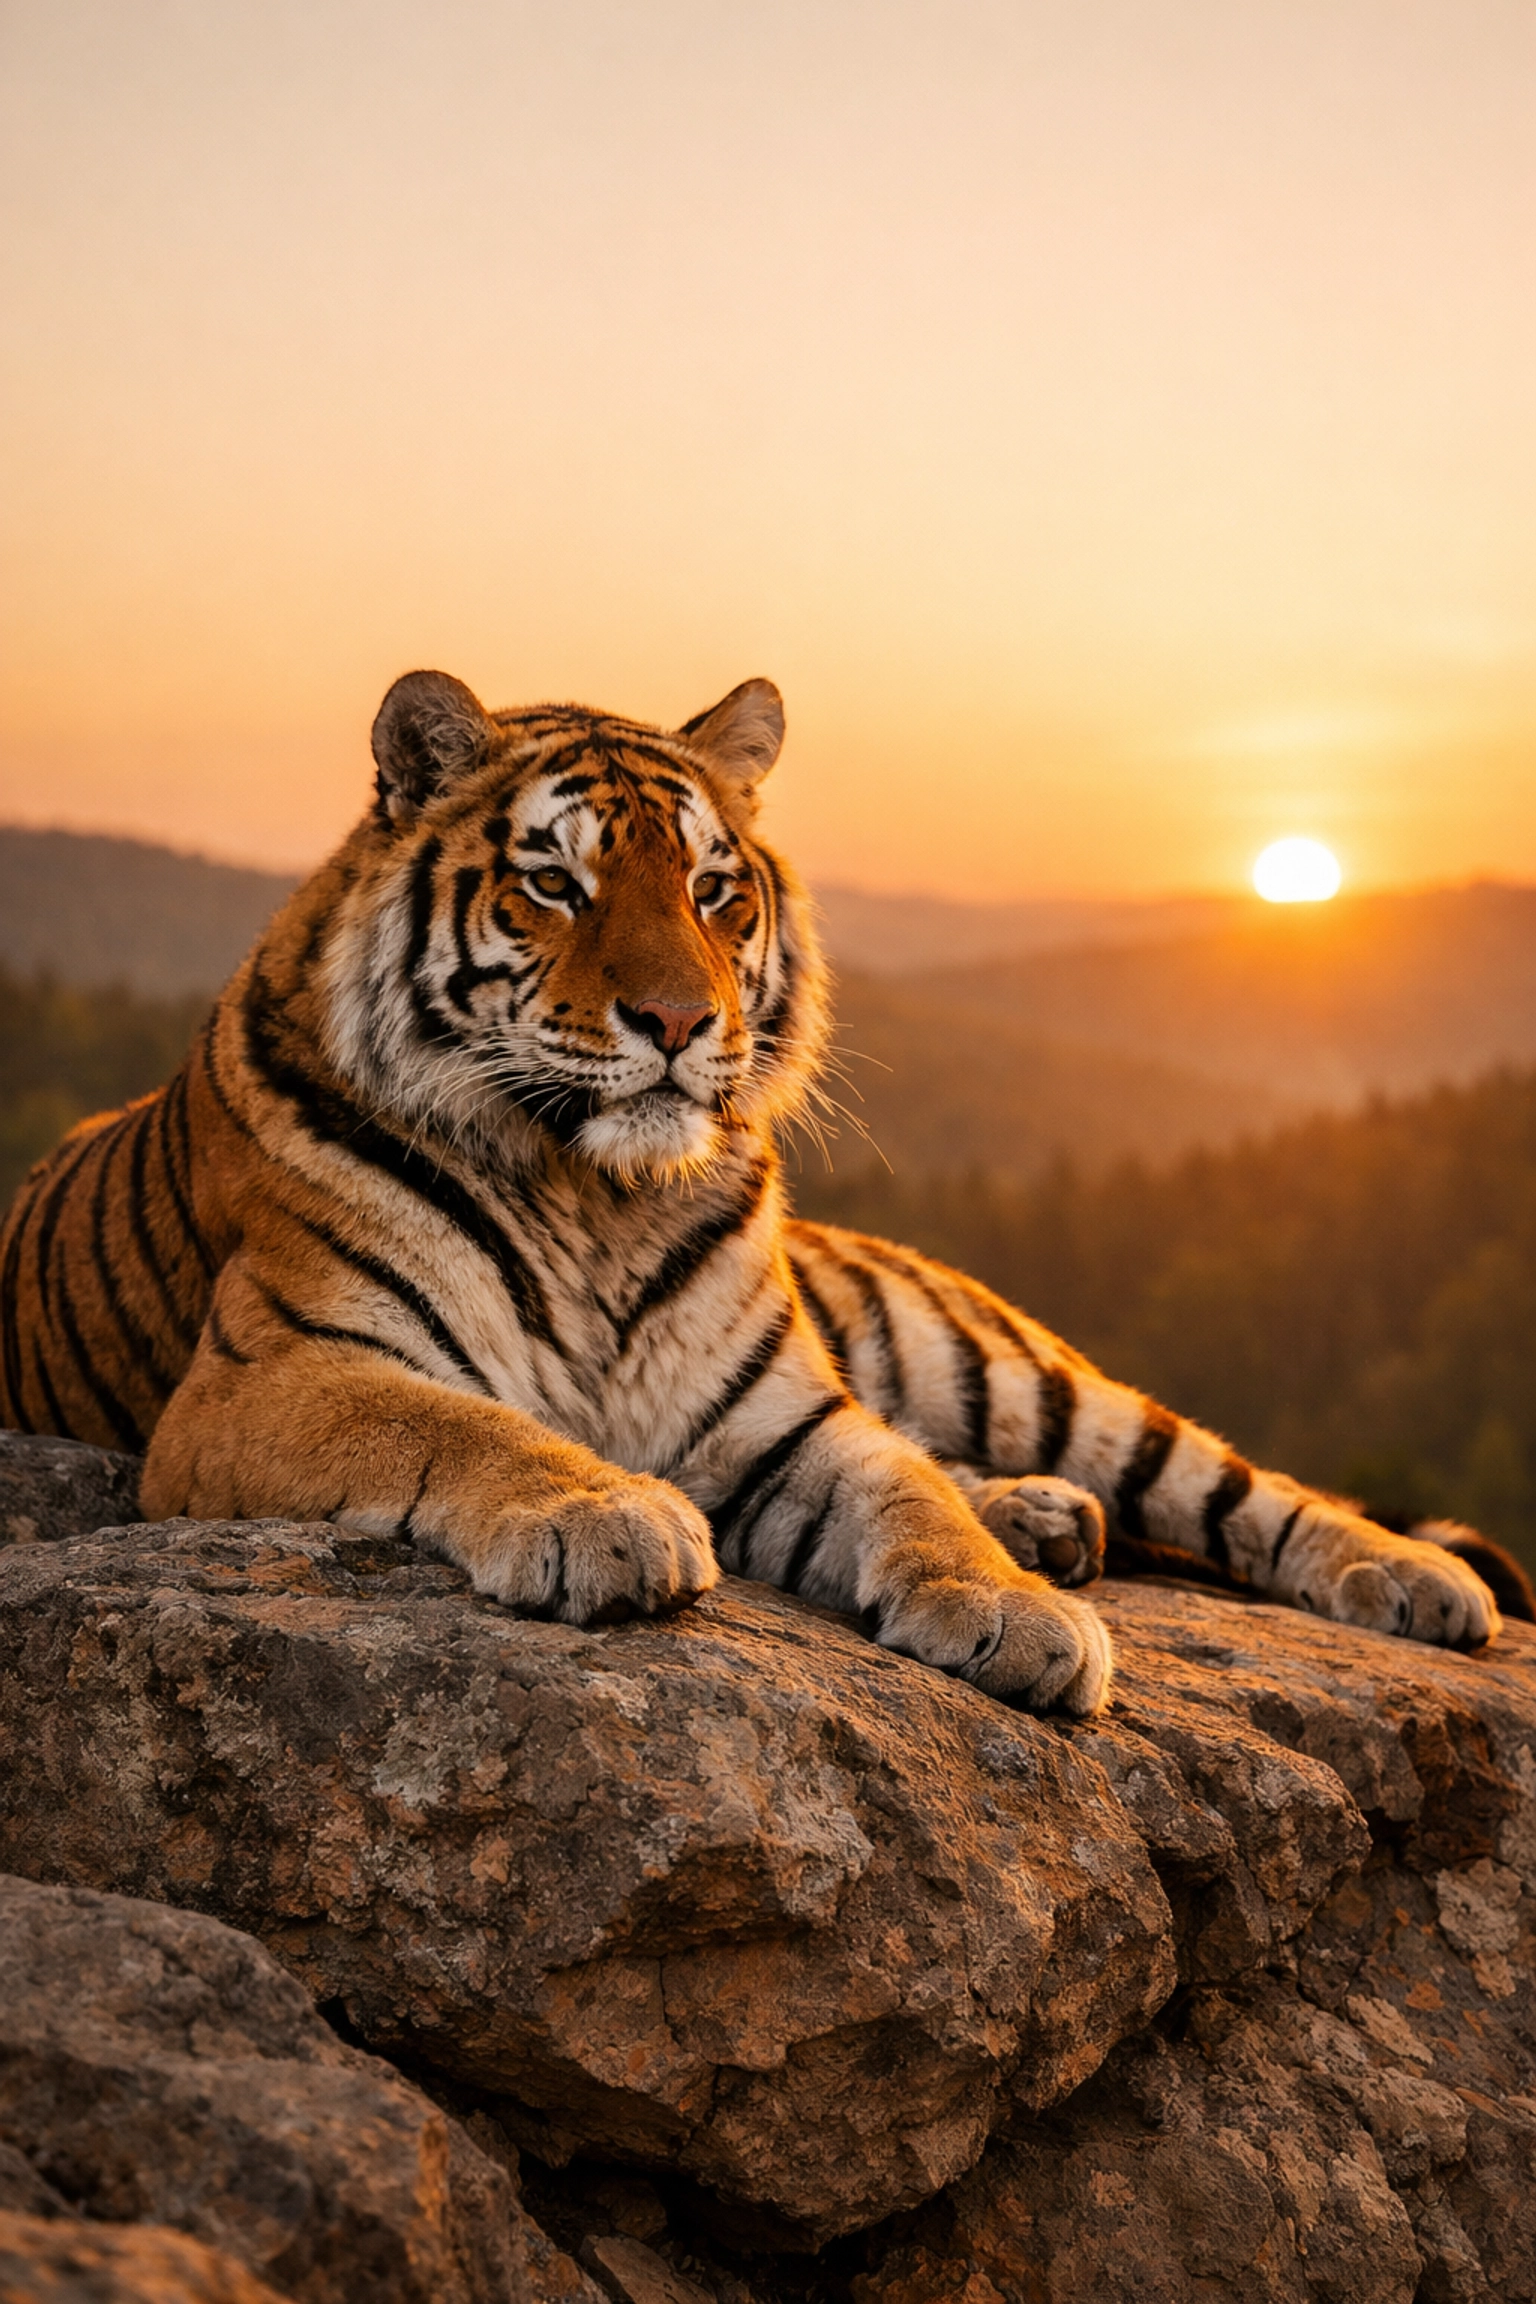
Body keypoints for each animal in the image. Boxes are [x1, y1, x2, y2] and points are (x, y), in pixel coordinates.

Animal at [0, 670, 1502, 1716]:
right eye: (556, 884)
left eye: (716, 891)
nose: (677, 1021)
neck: (596, 1198)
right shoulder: (270, 1377)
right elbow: (457, 1423)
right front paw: (604, 1514)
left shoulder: (788, 1415)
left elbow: (907, 1495)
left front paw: (1010, 1608)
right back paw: (1049, 1521)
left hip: (1015, 1368)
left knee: (1231, 1482)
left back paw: (1413, 1582)